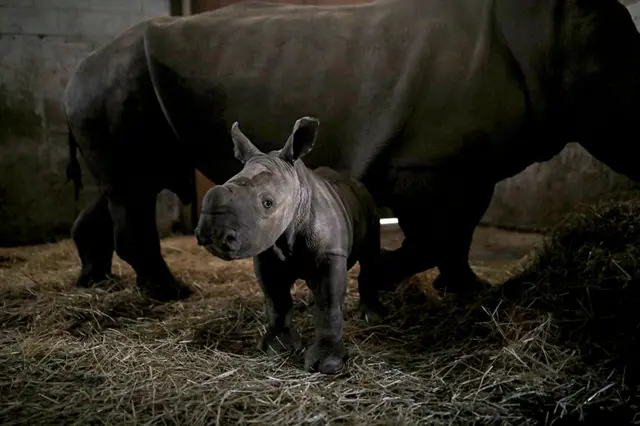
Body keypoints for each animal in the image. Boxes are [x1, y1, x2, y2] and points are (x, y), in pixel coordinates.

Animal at [64, 0, 640, 303]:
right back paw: (172, 294)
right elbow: (437, 234)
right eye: (623, 105)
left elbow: (459, 233)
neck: (553, 37)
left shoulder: (468, 166)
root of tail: (80, 66)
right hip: (116, 81)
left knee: (119, 185)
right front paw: (380, 280)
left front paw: (468, 292)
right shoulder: (425, 164)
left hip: (114, 86)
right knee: (134, 186)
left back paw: (94, 281)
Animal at [194, 116, 383, 374]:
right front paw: (277, 348)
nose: (212, 233)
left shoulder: (330, 254)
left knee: (370, 258)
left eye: (268, 203)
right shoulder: (267, 255)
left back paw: (369, 316)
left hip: (368, 203)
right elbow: (277, 301)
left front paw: (328, 364)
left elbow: (329, 304)